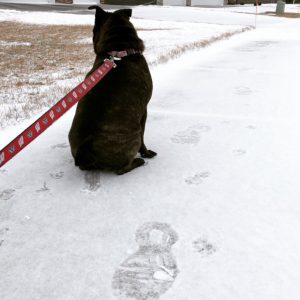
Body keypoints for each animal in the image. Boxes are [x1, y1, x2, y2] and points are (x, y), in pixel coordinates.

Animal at [68, 5, 157, 175]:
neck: (119, 49)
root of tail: (85, 149)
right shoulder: (144, 111)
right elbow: (144, 138)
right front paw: (146, 153)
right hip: (134, 135)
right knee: (122, 169)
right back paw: (138, 161)